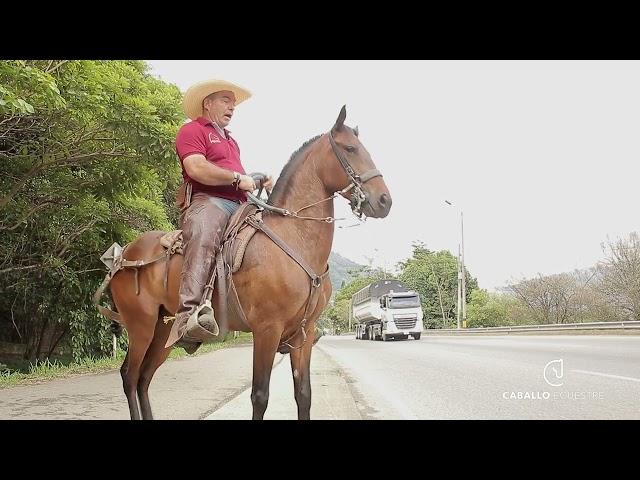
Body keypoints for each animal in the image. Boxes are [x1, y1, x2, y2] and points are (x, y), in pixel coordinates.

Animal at [107, 106, 392, 420]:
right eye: (351, 149)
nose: (384, 201)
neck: (294, 238)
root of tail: (123, 256)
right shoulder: (267, 330)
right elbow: (260, 396)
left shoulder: (303, 335)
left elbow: (304, 395)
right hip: (141, 326)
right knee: (130, 376)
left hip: (162, 331)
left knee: (144, 378)